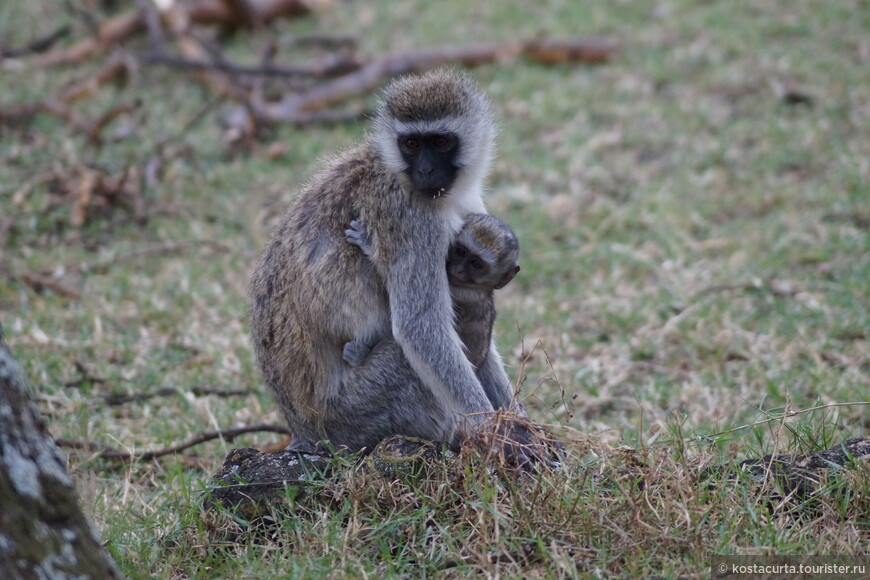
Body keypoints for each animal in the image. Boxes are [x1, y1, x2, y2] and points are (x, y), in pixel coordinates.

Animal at [344, 214, 520, 372]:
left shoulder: (460, 292)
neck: (479, 288)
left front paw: (369, 245)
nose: (458, 270)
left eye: (476, 264)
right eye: (461, 252)